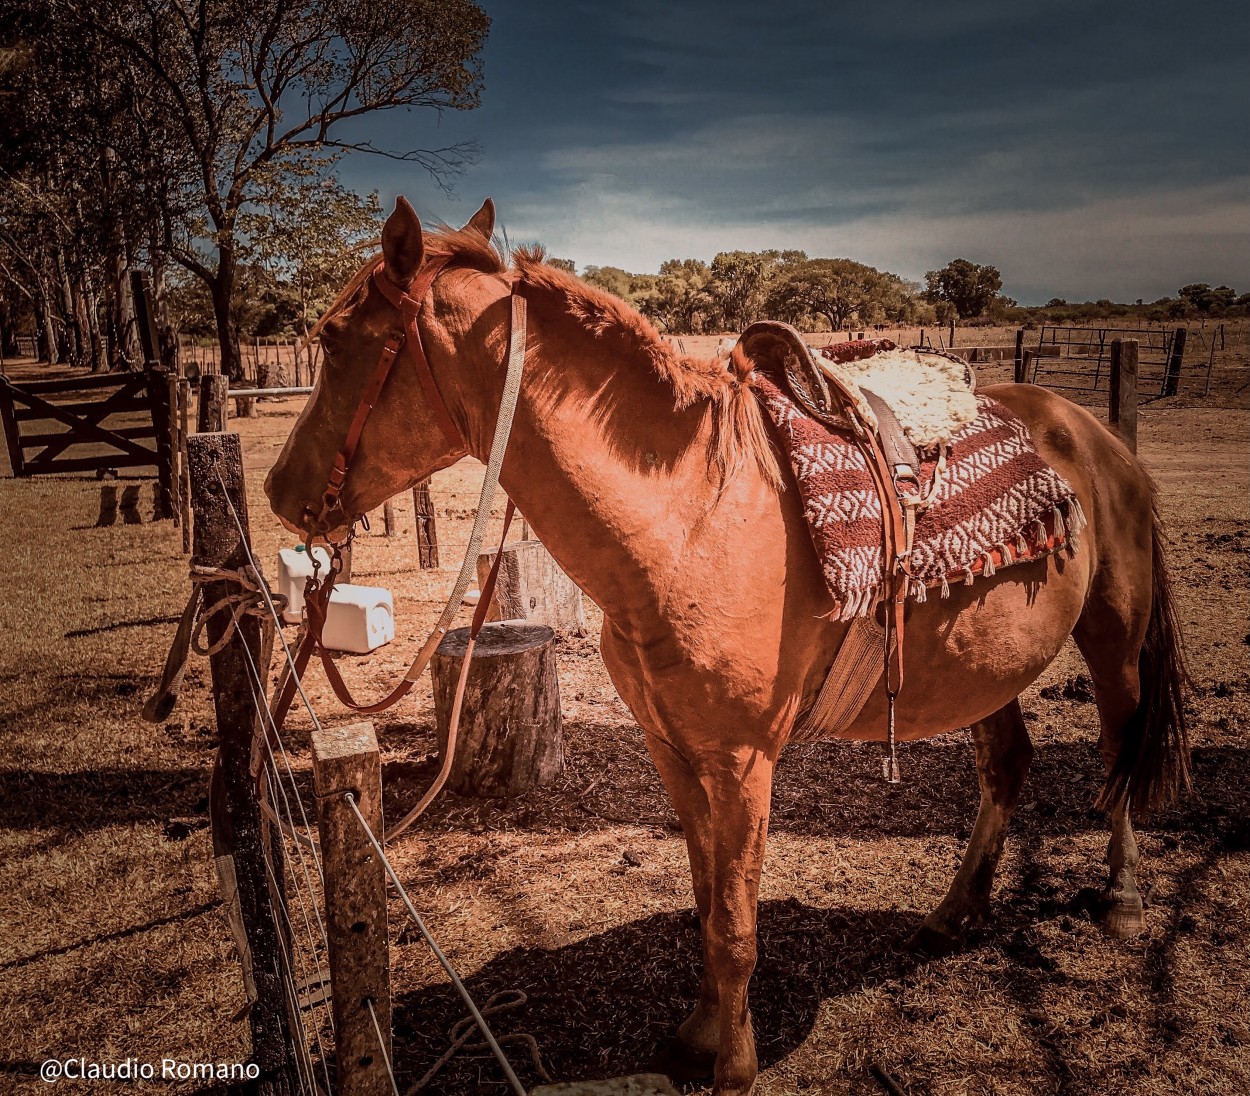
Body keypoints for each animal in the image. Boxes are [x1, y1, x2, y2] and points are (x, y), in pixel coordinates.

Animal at [266, 198, 1190, 1094]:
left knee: (1118, 748)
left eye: (337, 339)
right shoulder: (674, 751)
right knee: (1006, 765)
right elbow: (709, 905)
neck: (688, 519)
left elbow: (738, 927)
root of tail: (1095, 434)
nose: (277, 489)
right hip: (984, 671)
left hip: (1112, 639)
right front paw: (700, 1035)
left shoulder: (744, 763)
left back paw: (1122, 898)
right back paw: (953, 914)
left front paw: (735, 1066)